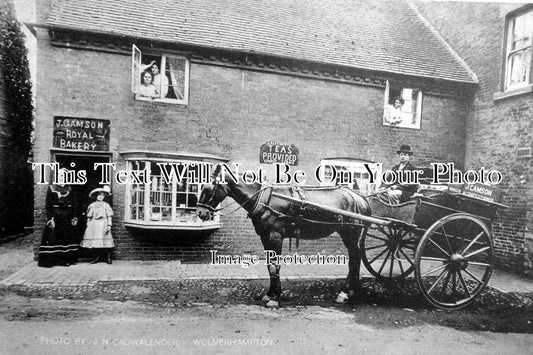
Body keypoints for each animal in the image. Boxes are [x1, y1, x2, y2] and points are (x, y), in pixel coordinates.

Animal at [196, 165, 370, 308]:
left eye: (209, 189)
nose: (200, 213)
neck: (265, 199)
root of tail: (359, 197)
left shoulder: (275, 236)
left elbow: (275, 266)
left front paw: (275, 299)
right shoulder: (265, 237)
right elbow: (269, 266)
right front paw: (270, 294)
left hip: (350, 233)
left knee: (354, 259)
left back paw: (345, 293)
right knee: (356, 257)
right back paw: (353, 291)